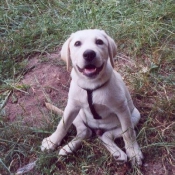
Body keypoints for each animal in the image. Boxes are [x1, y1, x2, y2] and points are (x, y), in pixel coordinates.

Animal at [41, 29, 144, 166]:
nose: (89, 54)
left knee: (106, 135)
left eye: (99, 42)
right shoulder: (71, 107)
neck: (91, 85)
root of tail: (97, 129)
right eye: (77, 43)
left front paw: (134, 152)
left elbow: (128, 133)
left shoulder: (122, 109)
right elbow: (62, 125)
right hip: (79, 114)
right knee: (85, 131)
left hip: (134, 115)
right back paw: (68, 148)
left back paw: (118, 153)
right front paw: (51, 141)